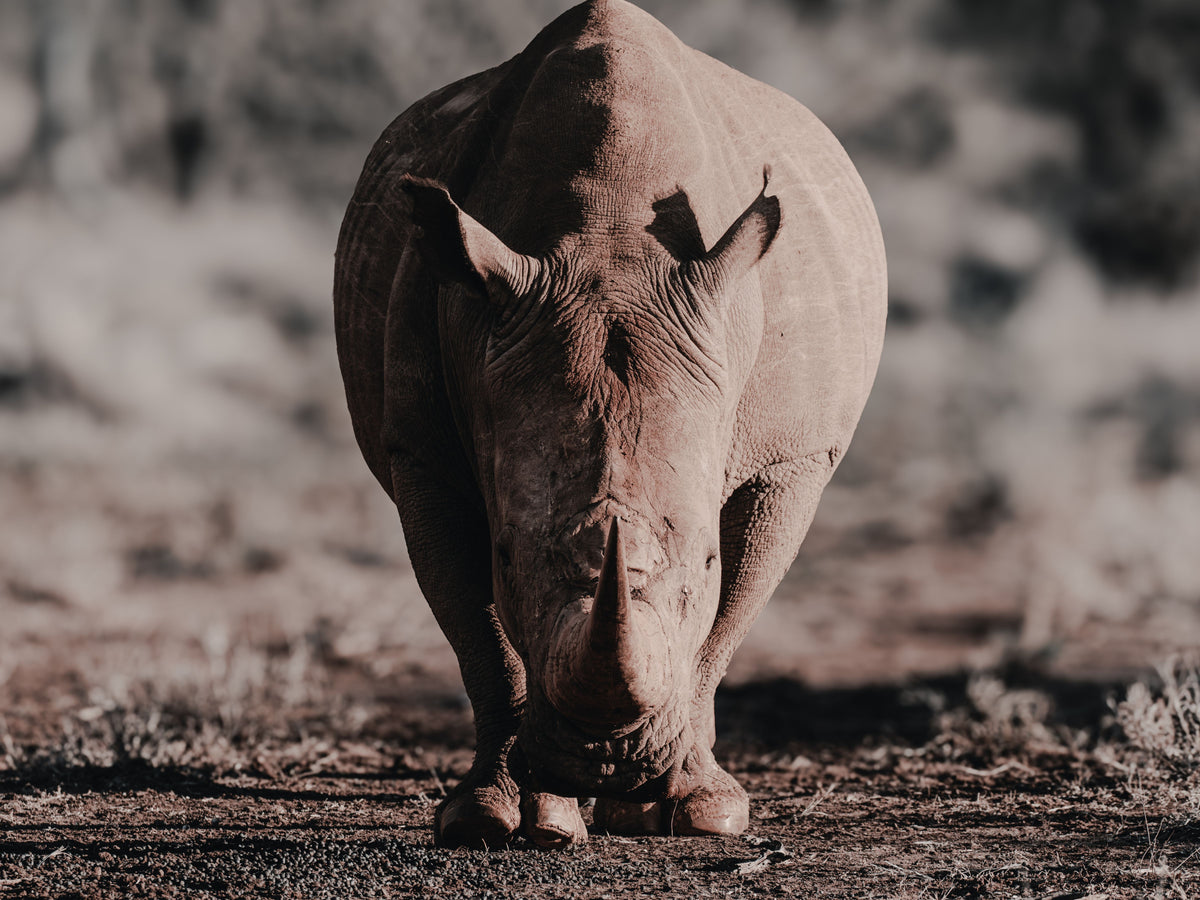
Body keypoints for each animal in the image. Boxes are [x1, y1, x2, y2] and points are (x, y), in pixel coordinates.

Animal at [334, 0, 885, 848]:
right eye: (508, 557)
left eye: (703, 564)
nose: (607, 761)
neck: (610, 239)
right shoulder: (421, 449)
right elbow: (478, 632)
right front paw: (498, 820)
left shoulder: (788, 458)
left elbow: (726, 621)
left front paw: (702, 814)